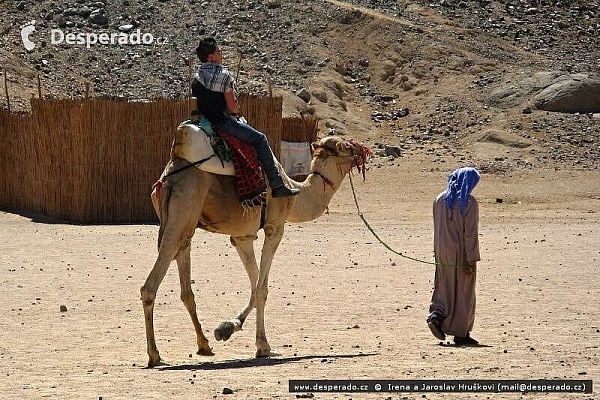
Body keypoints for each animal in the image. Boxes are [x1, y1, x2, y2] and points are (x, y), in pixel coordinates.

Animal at [139, 130, 370, 366]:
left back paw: (204, 345)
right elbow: (262, 288)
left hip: (185, 225)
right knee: (150, 286)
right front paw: (263, 346)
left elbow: (255, 282)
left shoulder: (242, 236)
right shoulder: (274, 228)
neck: (296, 193)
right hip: (181, 214)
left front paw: (227, 328)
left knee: (186, 288)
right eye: (346, 146)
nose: (364, 150)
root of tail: (168, 180)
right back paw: (155, 355)